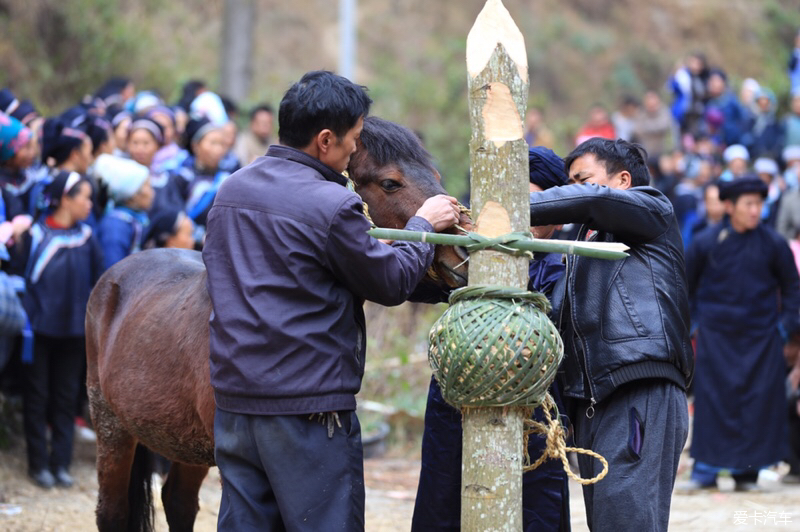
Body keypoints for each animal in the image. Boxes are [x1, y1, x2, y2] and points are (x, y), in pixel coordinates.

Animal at [86, 116, 476, 532]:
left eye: (436, 177)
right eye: (390, 183)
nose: (464, 251)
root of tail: (113, 277)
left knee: (177, 502)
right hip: (113, 430)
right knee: (112, 511)